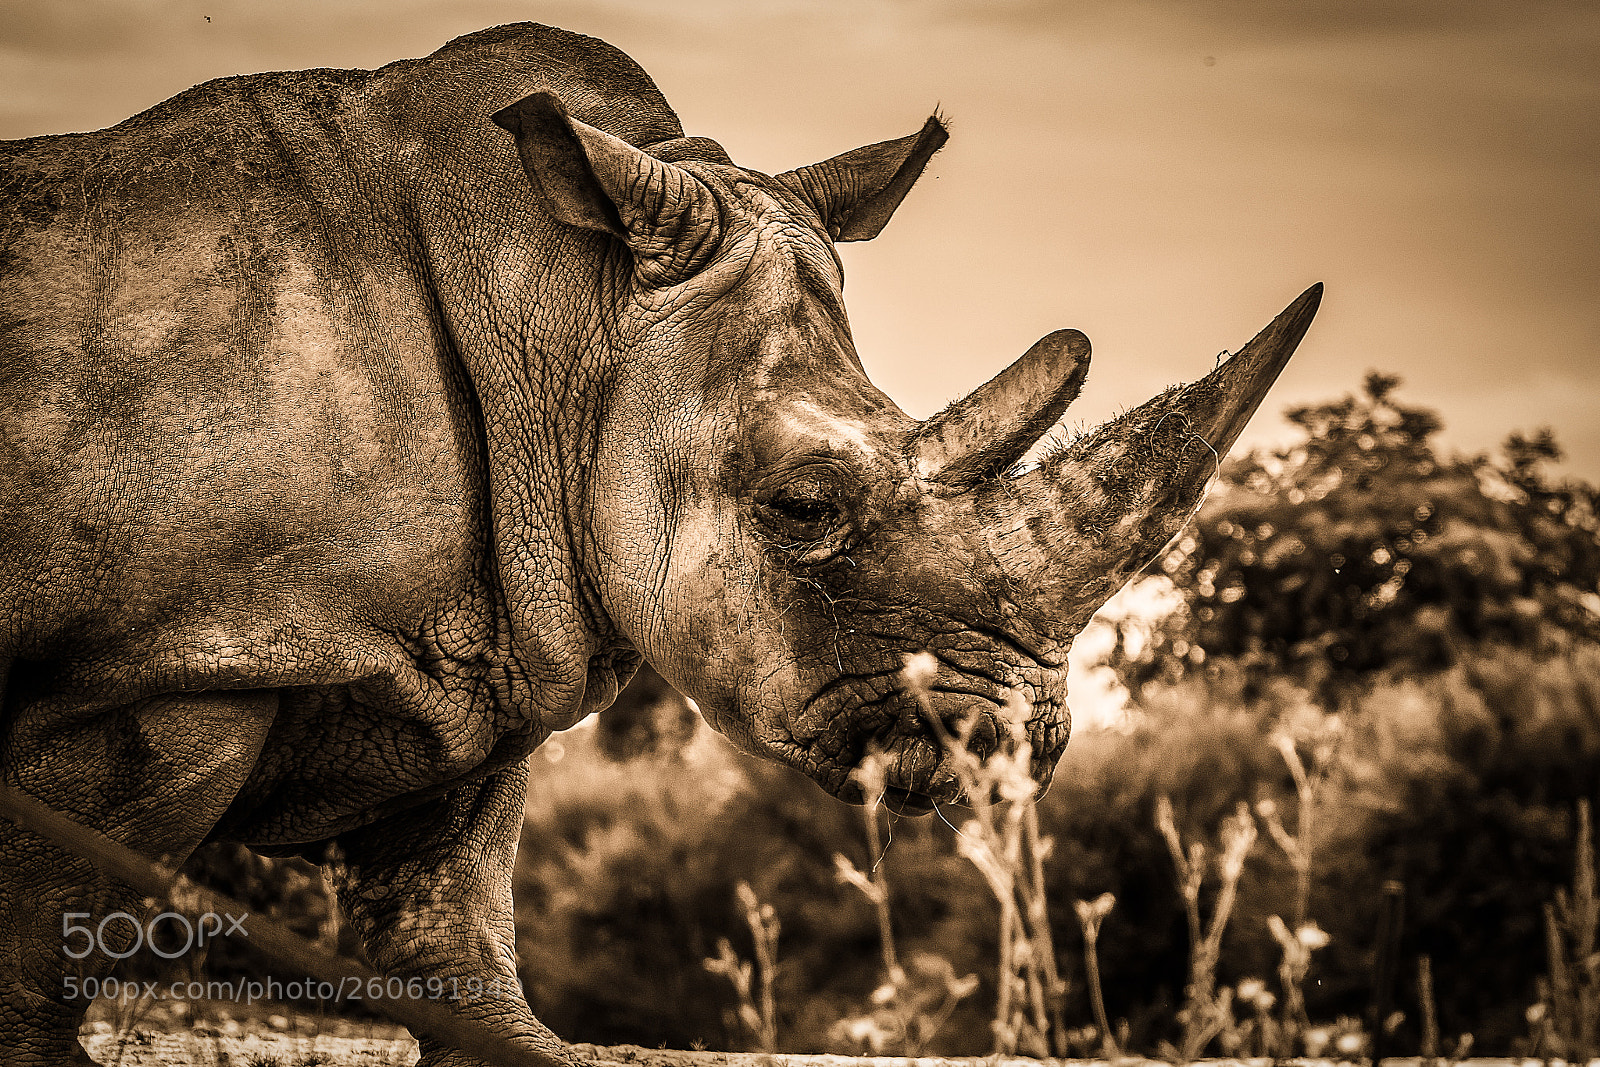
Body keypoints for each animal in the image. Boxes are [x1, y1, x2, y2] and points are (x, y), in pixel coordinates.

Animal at [0, 22, 1319, 1066]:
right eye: (803, 506)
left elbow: (451, 930)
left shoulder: (493, 639)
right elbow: (46, 934)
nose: (1014, 748)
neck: (566, 316)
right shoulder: (164, 664)